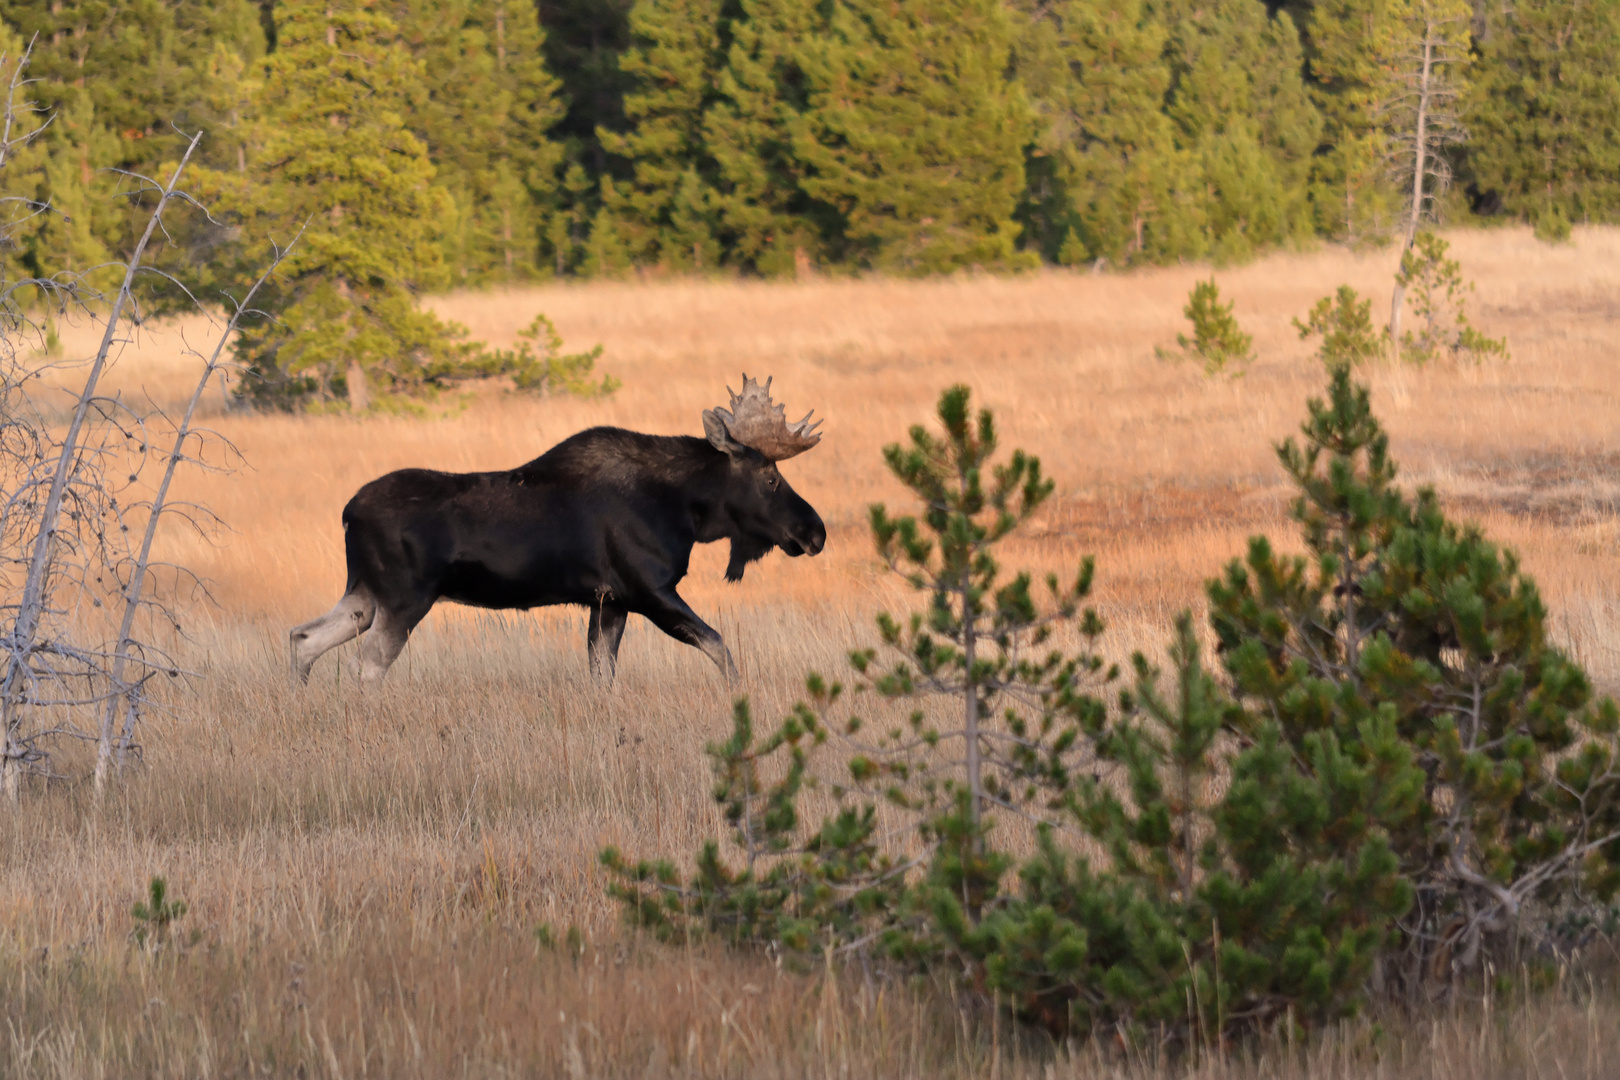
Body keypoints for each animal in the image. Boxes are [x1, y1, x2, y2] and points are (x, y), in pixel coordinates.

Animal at [285, 378, 829, 683]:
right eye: (770, 477)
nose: (815, 532)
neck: (686, 511)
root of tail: (348, 512)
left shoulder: (610, 601)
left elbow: (602, 675)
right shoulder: (650, 590)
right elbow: (721, 647)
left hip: (363, 593)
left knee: (302, 637)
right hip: (403, 599)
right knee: (366, 664)